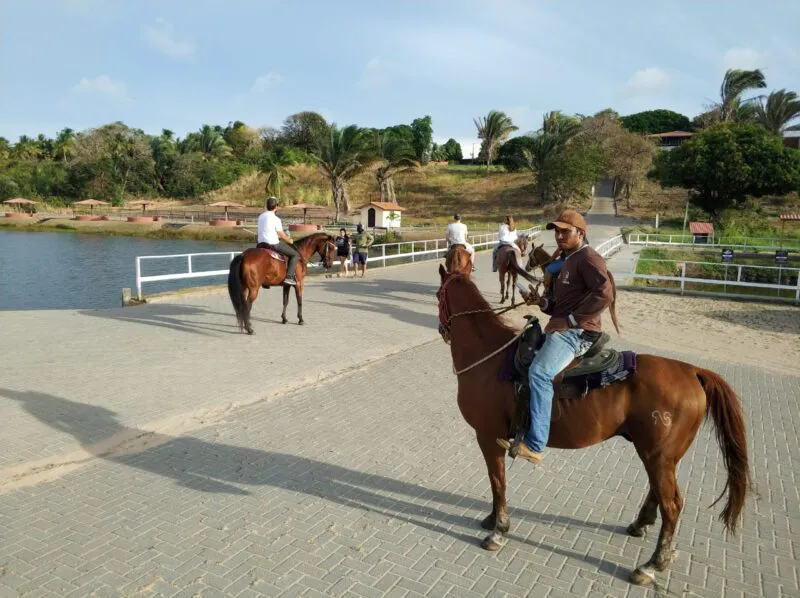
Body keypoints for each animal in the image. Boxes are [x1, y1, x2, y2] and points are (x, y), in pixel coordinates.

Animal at [438, 268, 752, 584]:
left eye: (439, 295)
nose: (443, 330)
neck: (488, 357)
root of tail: (692, 371)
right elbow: (496, 482)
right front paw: (492, 519)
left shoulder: (488, 436)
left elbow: (497, 481)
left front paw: (499, 529)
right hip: (660, 456)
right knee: (659, 492)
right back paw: (640, 525)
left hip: (658, 456)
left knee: (672, 505)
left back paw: (652, 564)